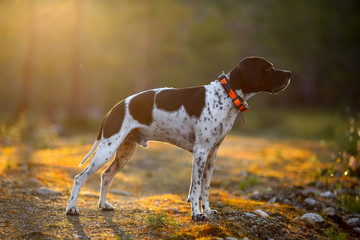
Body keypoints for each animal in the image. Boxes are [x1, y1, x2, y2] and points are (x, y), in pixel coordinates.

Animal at [66, 56, 292, 221]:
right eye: (268, 68)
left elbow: (205, 188)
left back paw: (103, 205)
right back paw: (72, 208)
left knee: (106, 176)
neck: (226, 96)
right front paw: (197, 214)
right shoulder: (200, 151)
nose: (290, 73)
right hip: (106, 150)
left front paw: (207, 210)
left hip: (123, 153)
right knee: (79, 178)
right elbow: (195, 188)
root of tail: (114, 109)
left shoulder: (212, 155)